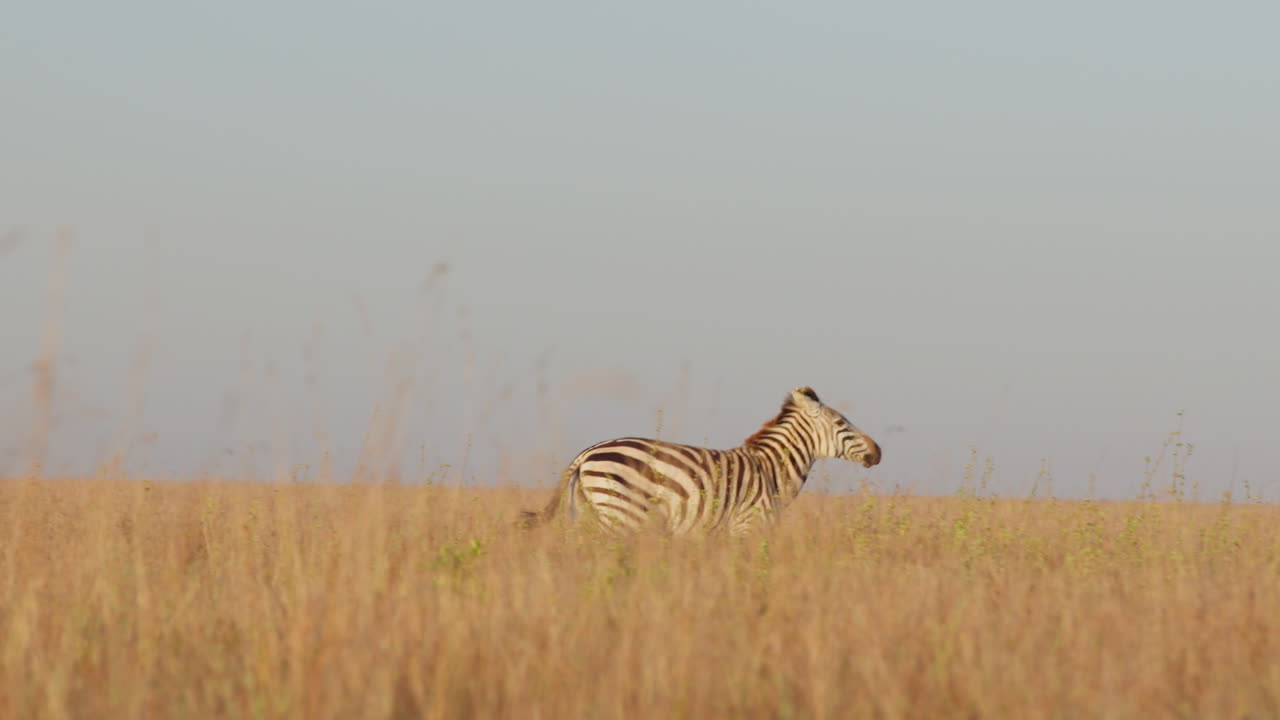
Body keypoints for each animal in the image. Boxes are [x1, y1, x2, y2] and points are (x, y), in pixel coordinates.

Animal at [519, 387, 881, 536]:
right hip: (620, 513)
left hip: (588, 511)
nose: (878, 452)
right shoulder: (747, 526)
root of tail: (587, 452)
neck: (772, 470)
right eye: (842, 423)